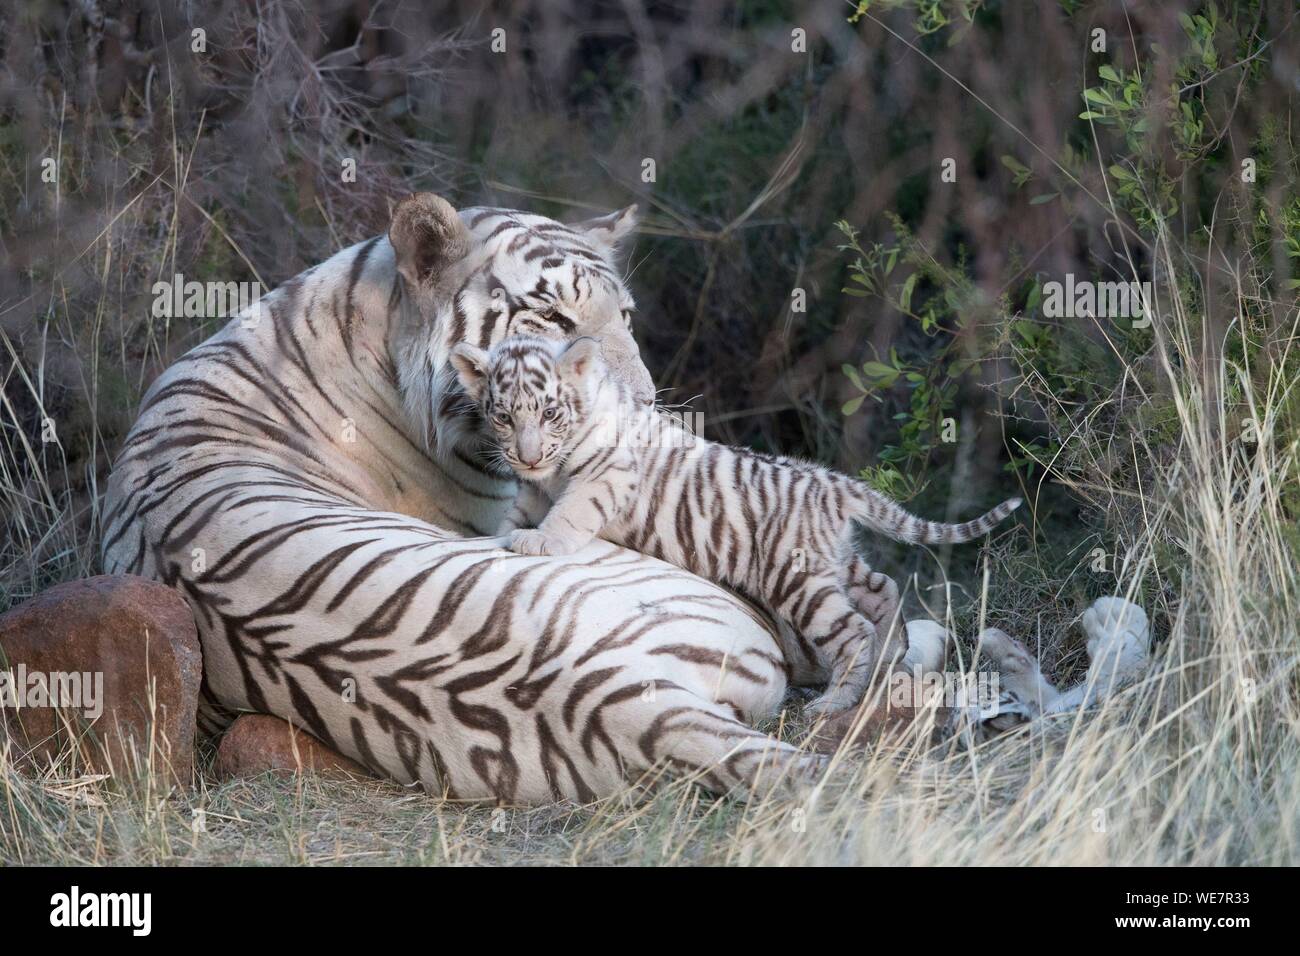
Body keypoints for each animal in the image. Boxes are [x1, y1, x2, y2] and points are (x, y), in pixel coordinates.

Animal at [448, 334, 1023, 715]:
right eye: (503, 417)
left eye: (549, 413)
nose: (525, 457)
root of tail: (833, 484)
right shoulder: (531, 489)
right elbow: (515, 511)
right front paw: (498, 533)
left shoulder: (604, 476)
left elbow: (569, 513)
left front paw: (539, 542)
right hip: (835, 562)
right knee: (882, 587)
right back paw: (889, 660)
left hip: (797, 578)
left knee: (851, 628)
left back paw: (834, 701)